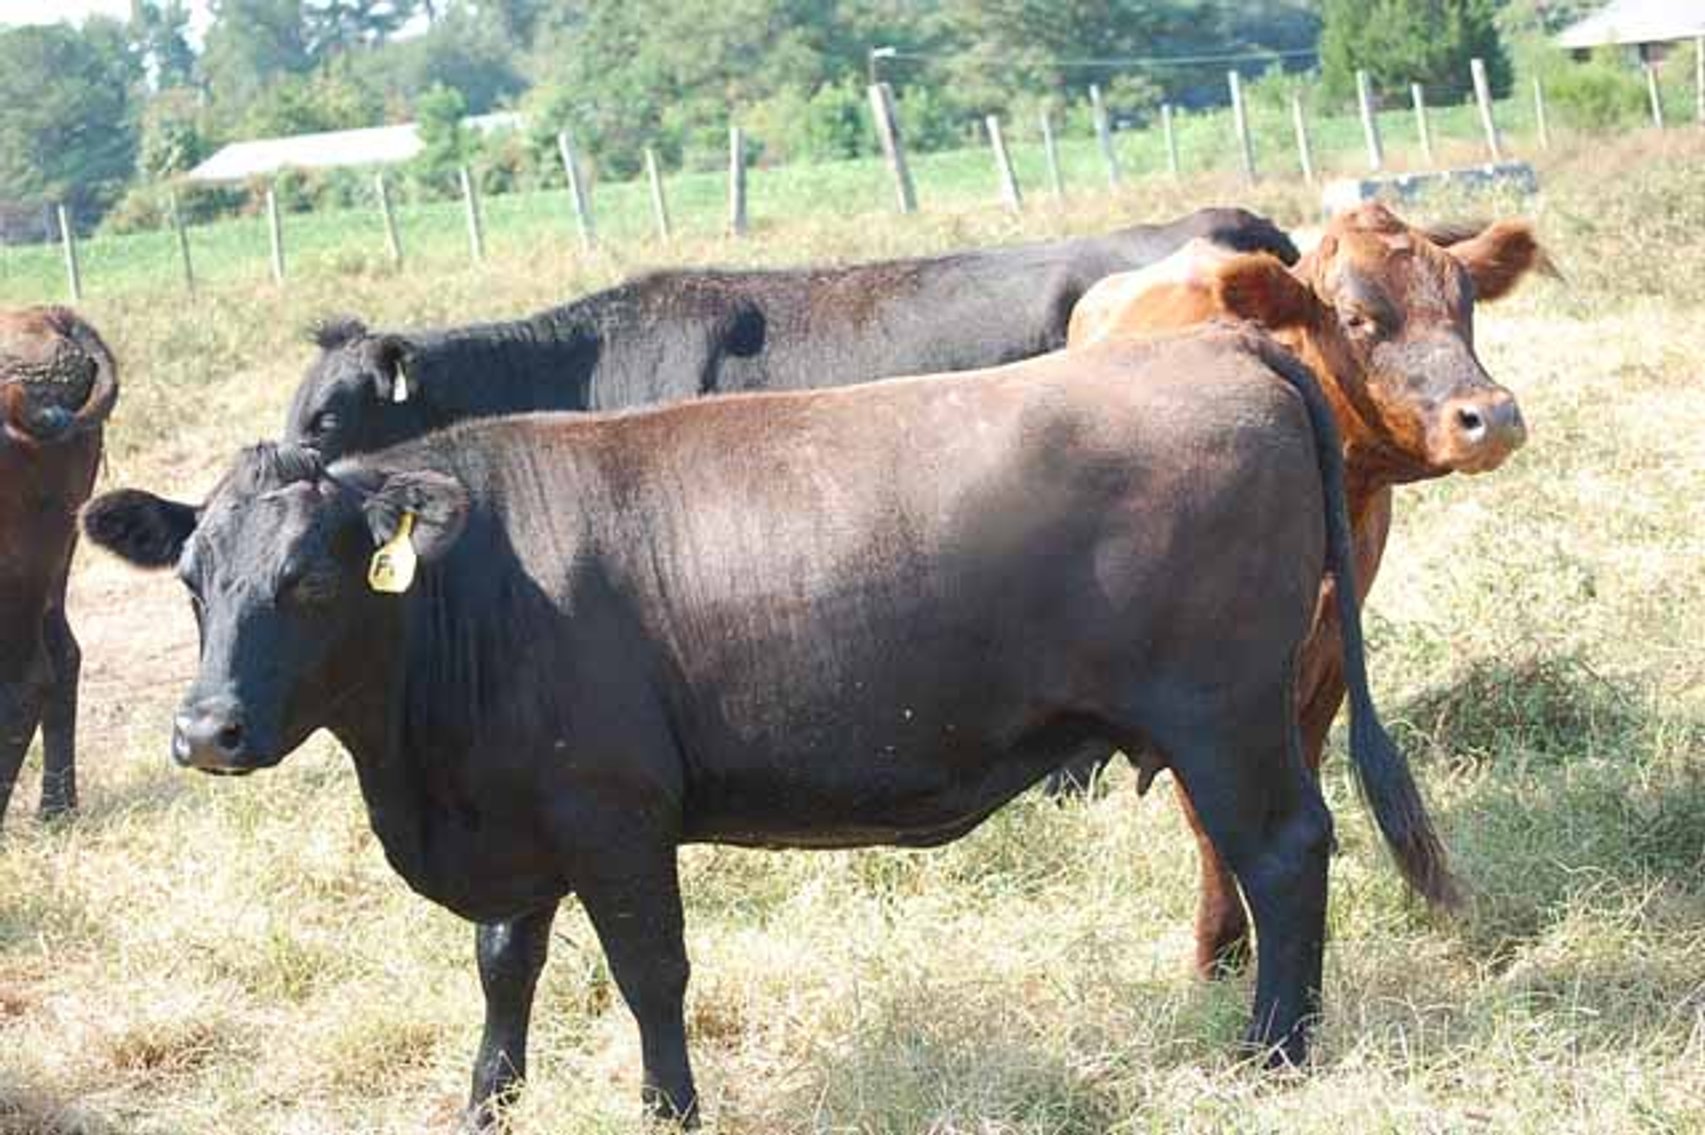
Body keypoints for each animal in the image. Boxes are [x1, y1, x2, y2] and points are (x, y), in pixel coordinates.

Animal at [85, 325, 1456, 1128]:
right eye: (195, 580)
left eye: (312, 580)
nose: (203, 730)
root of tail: (1221, 346)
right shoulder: (515, 819)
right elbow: (503, 967)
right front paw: (486, 1105)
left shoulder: (613, 817)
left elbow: (649, 975)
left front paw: (669, 1110)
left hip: (1225, 714)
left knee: (1284, 851)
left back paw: (1272, 1054)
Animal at [1053, 202, 1549, 978]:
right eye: (1354, 316)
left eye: (1465, 302)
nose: (1489, 417)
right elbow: (1209, 820)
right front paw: (1221, 945)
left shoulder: (1331, 654)